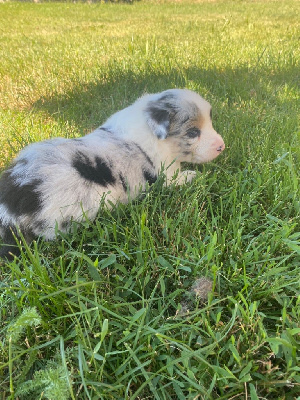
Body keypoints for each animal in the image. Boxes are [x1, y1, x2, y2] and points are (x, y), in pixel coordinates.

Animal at [0, 88, 225, 260]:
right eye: (193, 132)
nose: (221, 146)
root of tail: (14, 198)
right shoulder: (166, 174)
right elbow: (179, 177)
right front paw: (195, 175)